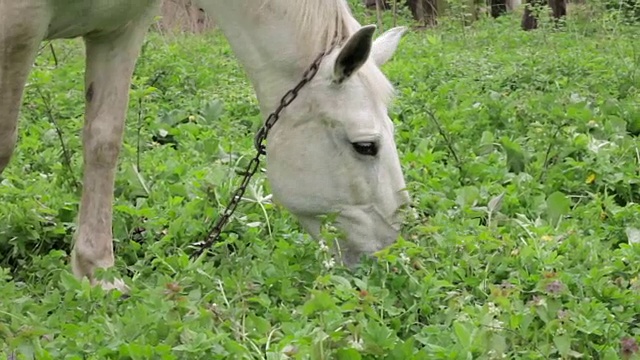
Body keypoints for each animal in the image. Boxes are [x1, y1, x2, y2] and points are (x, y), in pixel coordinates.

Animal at [0, 0, 410, 292]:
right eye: (365, 146)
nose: (387, 252)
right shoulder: (19, 26)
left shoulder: (119, 30)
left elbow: (104, 142)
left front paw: (98, 273)